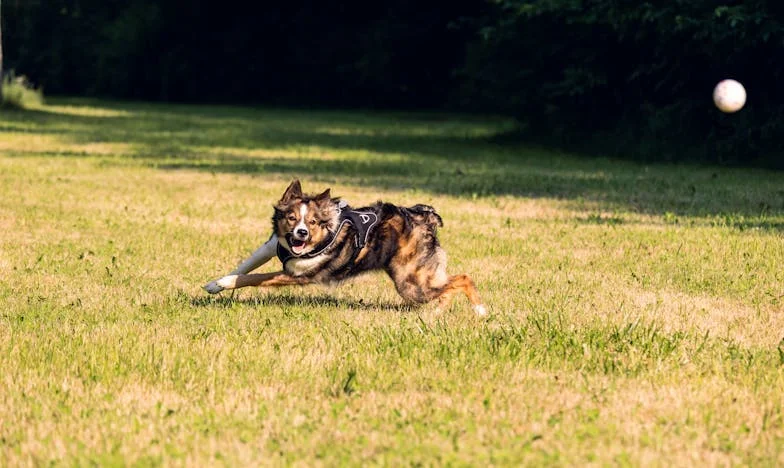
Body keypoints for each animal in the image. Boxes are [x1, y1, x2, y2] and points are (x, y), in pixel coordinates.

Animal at [204, 179, 484, 314]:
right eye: (292, 218)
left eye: (313, 222)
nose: (301, 233)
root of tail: (423, 216)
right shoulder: (272, 245)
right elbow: (246, 266)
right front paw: (215, 284)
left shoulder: (299, 274)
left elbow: (254, 277)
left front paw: (225, 283)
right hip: (418, 278)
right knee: (448, 286)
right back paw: (436, 313)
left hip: (410, 283)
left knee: (463, 278)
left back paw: (479, 310)